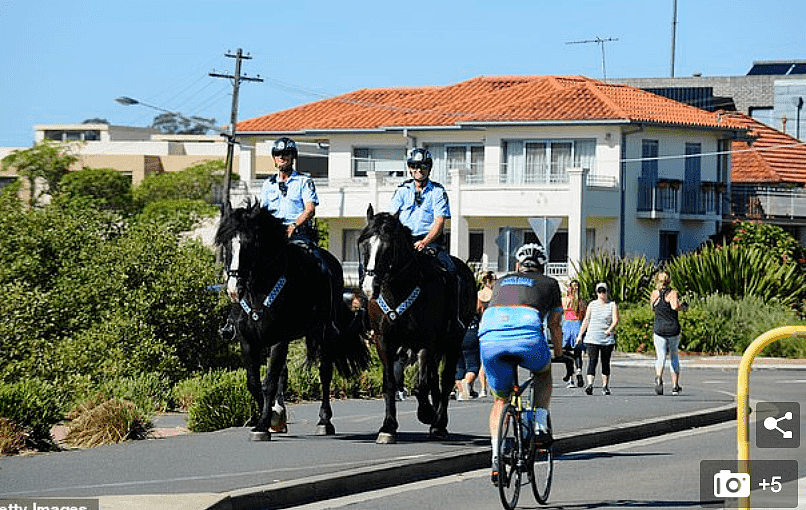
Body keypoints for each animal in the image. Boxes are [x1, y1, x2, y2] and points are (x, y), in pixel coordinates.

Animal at [215, 201, 366, 440]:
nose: (233, 290)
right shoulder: (249, 342)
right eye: (227, 244)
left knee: (324, 373)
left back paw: (325, 421)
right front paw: (273, 418)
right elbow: (254, 382)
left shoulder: (279, 340)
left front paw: (263, 425)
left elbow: (268, 383)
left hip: (325, 334)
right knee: (283, 376)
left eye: (250, 244)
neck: (259, 291)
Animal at [360, 203, 480, 442]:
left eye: (388, 247)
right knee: (434, 379)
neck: (397, 289)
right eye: (365, 245)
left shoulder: (424, 342)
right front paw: (388, 427)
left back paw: (439, 423)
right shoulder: (383, 341)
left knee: (445, 380)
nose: (369, 288)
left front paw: (426, 413)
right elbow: (390, 384)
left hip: (453, 342)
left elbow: (421, 385)